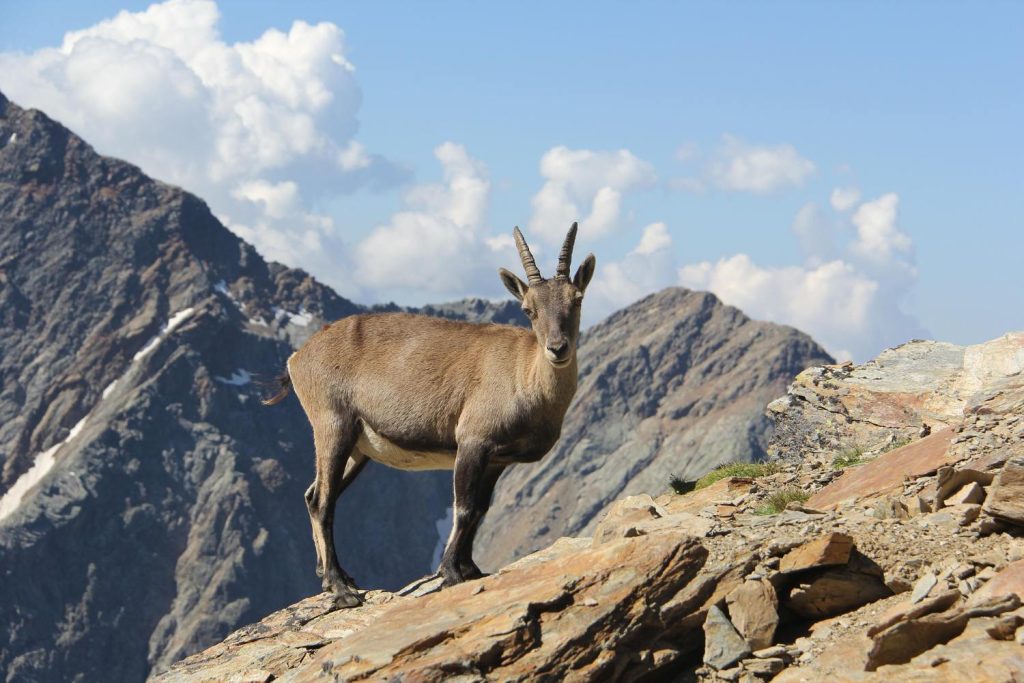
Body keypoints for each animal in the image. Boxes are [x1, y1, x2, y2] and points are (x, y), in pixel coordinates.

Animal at [263, 223, 595, 606]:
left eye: (577, 299)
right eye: (529, 310)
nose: (557, 349)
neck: (524, 375)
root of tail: (298, 357)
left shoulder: (497, 460)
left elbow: (481, 509)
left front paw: (471, 568)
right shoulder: (473, 442)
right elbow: (464, 507)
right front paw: (450, 572)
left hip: (358, 448)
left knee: (312, 493)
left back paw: (334, 576)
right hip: (332, 425)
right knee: (322, 501)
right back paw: (342, 590)